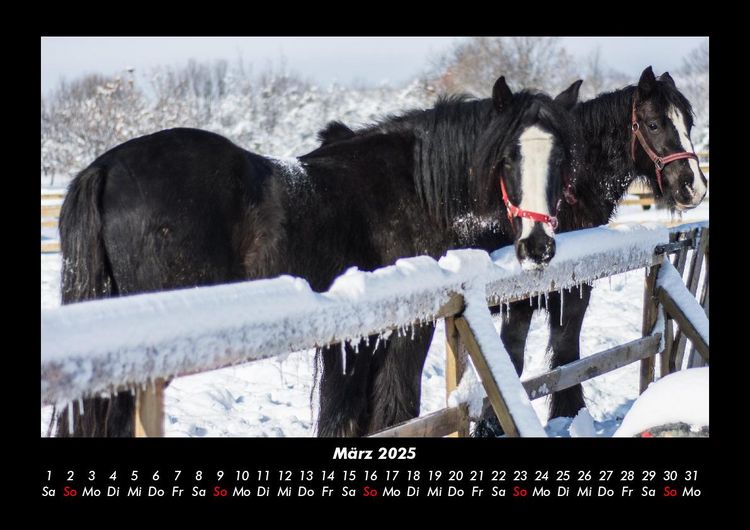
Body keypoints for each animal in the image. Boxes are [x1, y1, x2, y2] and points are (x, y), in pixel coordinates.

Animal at [51, 76, 581, 437]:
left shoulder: (355, 341)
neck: (414, 187)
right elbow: (392, 411)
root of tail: (104, 169)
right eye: (508, 158)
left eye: (561, 158)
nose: (538, 245)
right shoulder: (403, 330)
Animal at [474, 66, 708, 436]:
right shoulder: (524, 302)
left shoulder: (570, 293)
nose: (693, 187)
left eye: (688, 123)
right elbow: (518, 361)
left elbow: (567, 358)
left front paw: (567, 416)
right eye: (654, 123)